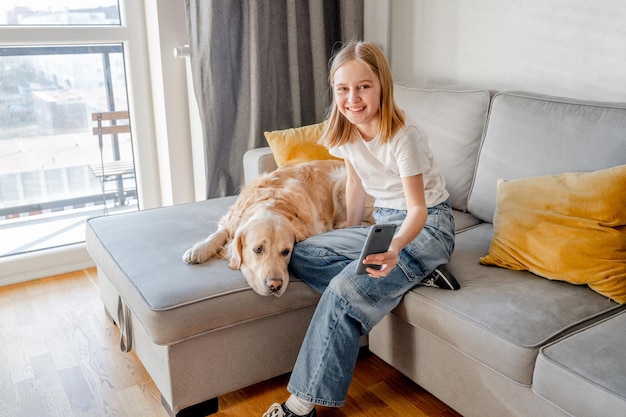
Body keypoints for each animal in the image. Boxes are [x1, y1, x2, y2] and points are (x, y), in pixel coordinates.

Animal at [183, 159, 372, 296]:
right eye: (258, 249)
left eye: (286, 251)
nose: (275, 285)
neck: (273, 201)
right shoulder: (231, 219)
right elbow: (218, 234)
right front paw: (198, 250)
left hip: (342, 181)